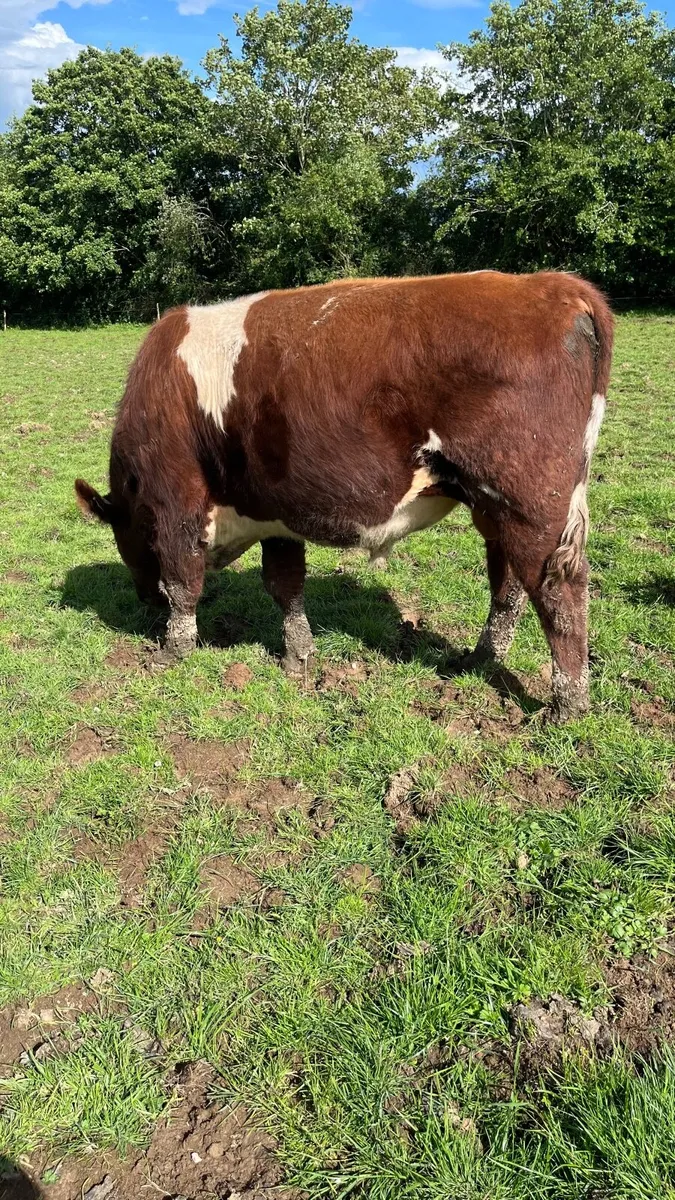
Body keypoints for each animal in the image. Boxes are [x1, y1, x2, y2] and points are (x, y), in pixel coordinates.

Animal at [75, 271, 613, 722]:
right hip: (495, 508)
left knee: (559, 595)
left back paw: (566, 707)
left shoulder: (176, 504)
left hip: (532, 507)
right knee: (508, 585)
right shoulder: (275, 513)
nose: (144, 601)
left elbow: (183, 581)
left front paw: (172, 650)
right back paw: (479, 658)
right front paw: (298, 656)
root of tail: (551, 285)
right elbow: (285, 585)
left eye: (126, 537)